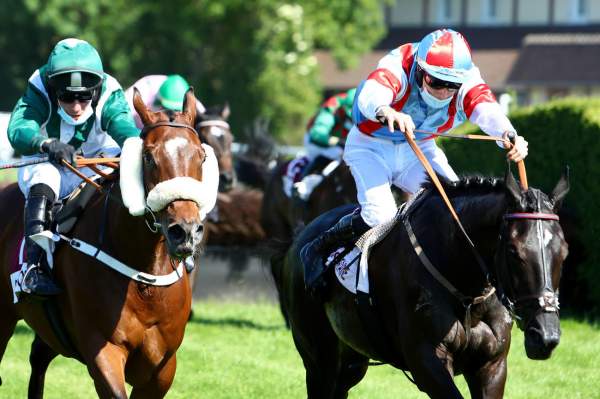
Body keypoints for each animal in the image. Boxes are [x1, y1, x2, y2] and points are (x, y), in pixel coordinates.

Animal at [0, 89, 216, 398]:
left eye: (201, 156)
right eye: (148, 157)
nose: (185, 231)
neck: (143, 275)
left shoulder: (163, 366)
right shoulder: (103, 350)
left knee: (38, 357)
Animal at [272, 170, 568, 399]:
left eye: (564, 251)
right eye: (513, 251)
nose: (545, 336)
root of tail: (298, 241)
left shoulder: (492, 365)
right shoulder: (428, 362)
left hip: (351, 360)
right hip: (320, 360)